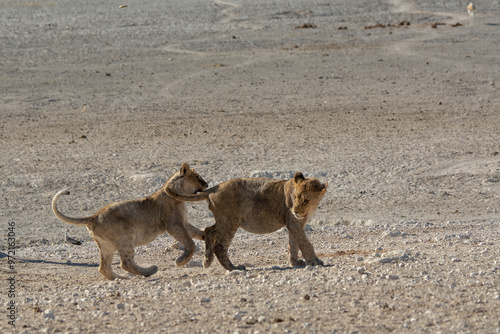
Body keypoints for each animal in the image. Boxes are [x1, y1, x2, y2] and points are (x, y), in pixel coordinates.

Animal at [51, 163, 207, 280]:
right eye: (197, 177)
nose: (207, 184)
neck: (178, 193)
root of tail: (94, 216)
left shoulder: (184, 224)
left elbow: (198, 233)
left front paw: (208, 236)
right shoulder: (173, 225)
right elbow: (190, 243)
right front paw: (181, 261)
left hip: (106, 245)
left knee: (104, 268)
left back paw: (121, 279)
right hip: (127, 237)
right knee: (126, 263)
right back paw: (149, 271)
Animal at [165, 168, 328, 272]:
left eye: (305, 200)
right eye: (295, 197)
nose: (295, 210)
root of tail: (213, 189)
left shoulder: (294, 223)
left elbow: (294, 243)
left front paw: (296, 262)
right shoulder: (293, 221)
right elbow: (304, 242)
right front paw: (315, 261)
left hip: (224, 220)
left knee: (209, 230)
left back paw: (207, 261)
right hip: (230, 221)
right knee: (219, 246)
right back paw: (233, 268)